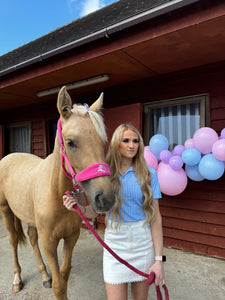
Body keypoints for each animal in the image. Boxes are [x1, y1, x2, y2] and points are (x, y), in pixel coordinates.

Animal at [0, 85, 115, 298]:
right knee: (13, 241)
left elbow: (64, 273)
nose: (106, 198)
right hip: (6, 211)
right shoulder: (49, 243)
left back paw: (44, 275)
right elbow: (59, 285)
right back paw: (17, 279)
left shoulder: (71, 237)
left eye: (102, 141)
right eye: (70, 142)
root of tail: (9, 156)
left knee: (32, 237)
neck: (56, 193)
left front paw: (51, 276)